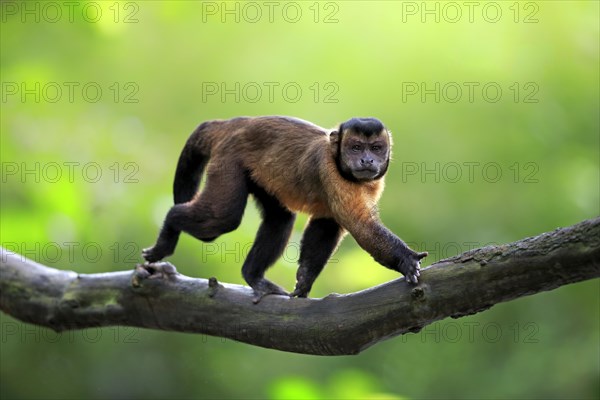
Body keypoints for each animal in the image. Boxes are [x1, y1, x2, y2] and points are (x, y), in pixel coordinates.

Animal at [144, 116, 426, 304]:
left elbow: (326, 225)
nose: (367, 160)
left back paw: (253, 276)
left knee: (279, 218)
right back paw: (171, 223)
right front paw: (406, 259)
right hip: (228, 156)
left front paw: (304, 280)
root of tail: (233, 122)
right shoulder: (329, 171)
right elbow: (360, 226)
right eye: (356, 147)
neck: (338, 162)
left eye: (376, 148)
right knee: (222, 219)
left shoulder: (372, 183)